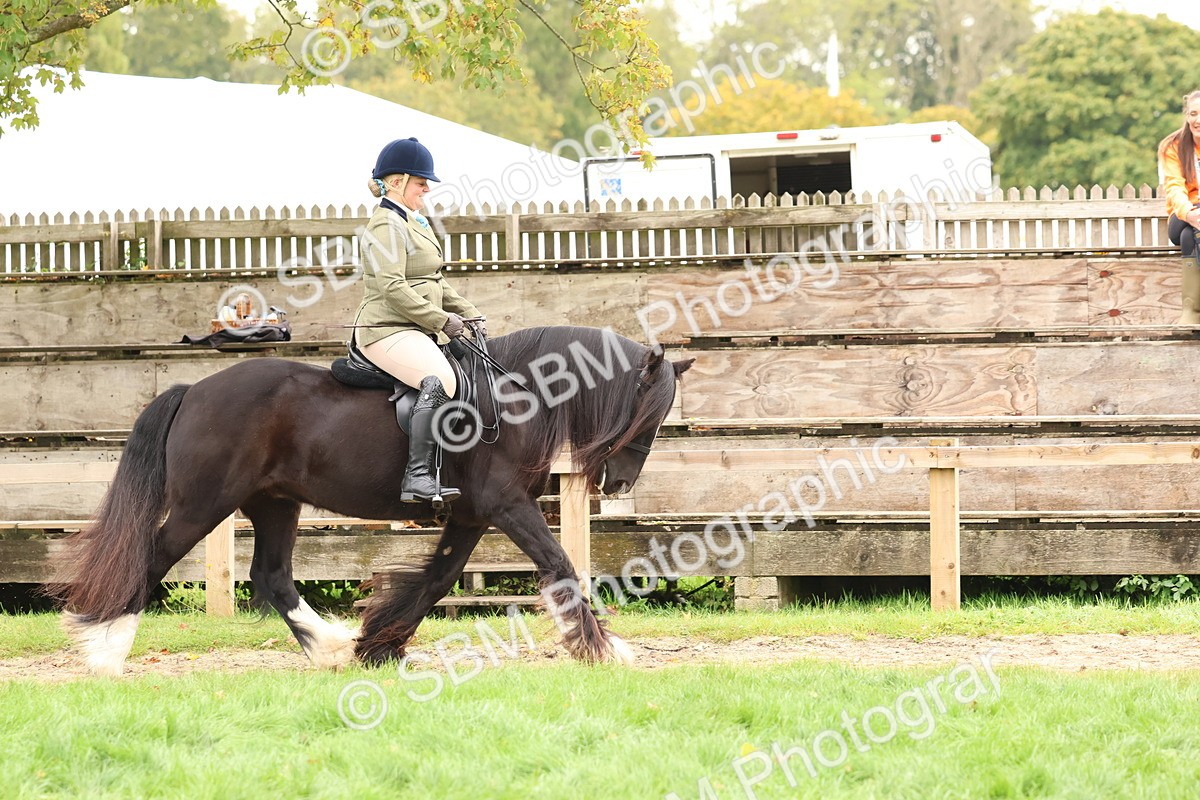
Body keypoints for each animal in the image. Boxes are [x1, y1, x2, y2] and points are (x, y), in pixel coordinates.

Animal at [48, 326, 694, 676]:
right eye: (645, 412)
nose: (620, 485)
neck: (515, 395)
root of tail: (194, 390)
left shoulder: (471, 514)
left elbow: (437, 579)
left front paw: (377, 644)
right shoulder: (507, 506)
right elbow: (559, 565)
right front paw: (605, 649)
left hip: (274, 503)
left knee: (272, 576)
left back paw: (329, 649)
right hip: (201, 507)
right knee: (151, 558)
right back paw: (105, 652)